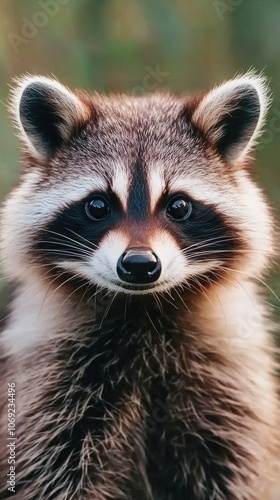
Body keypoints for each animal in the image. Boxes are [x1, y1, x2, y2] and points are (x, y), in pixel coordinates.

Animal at [0, 72, 278, 498]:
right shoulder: (49, 387)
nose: (139, 265)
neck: (141, 309)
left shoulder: (229, 382)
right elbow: (51, 473)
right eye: (98, 206)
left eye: (178, 206)